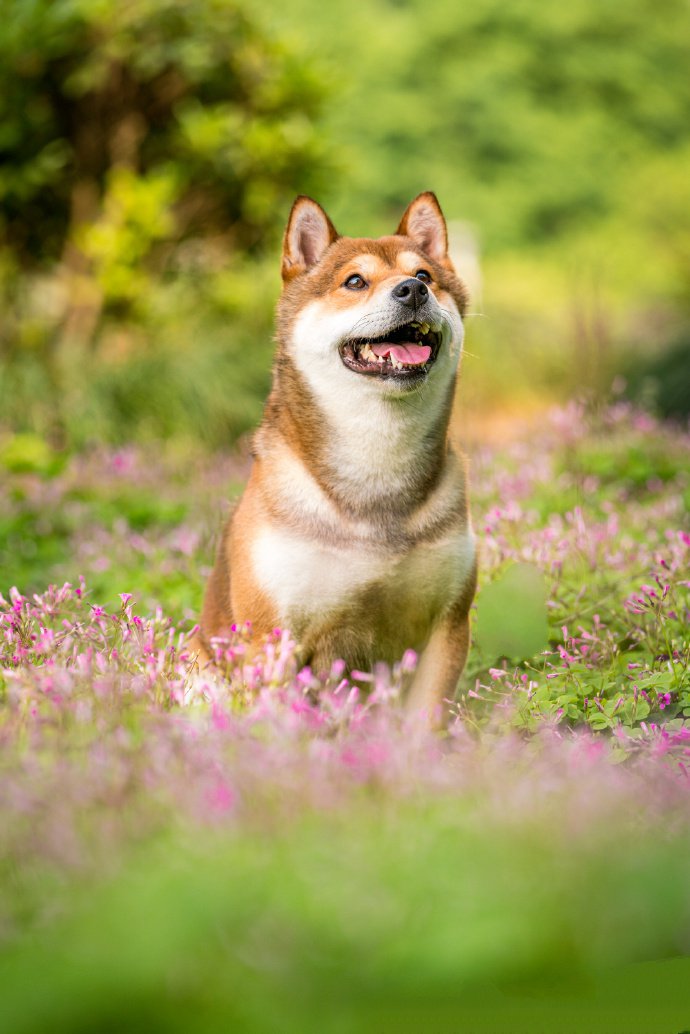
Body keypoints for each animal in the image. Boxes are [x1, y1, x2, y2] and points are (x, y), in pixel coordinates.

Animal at [196, 194, 477, 723]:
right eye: (355, 282)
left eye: (425, 275)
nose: (412, 290)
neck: (379, 458)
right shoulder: (273, 637)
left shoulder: (448, 624)